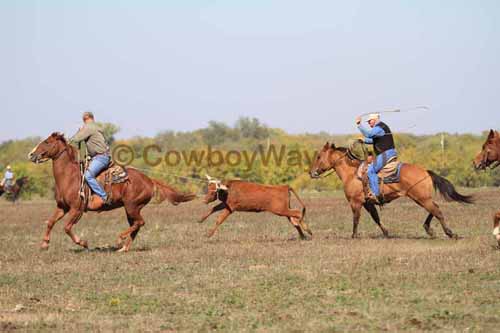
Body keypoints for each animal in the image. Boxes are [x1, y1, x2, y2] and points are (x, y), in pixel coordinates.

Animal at [26, 132, 195, 252]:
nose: (31, 154)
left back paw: (120, 240)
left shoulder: (76, 209)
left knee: (140, 222)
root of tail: (149, 180)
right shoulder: (62, 207)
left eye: (47, 142)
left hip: (132, 206)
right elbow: (50, 222)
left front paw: (84, 243)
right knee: (136, 225)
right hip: (131, 208)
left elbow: (67, 228)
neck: (70, 177)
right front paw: (44, 244)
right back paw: (124, 248)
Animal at [308, 141, 472, 237]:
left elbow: (356, 219)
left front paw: (354, 236)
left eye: (319, 156)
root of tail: (425, 171)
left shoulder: (355, 203)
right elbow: (376, 218)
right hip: (421, 198)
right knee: (434, 209)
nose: (312, 172)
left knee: (436, 210)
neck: (352, 173)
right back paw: (429, 229)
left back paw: (449, 233)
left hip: (421, 198)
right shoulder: (368, 203)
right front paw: (386, 233)